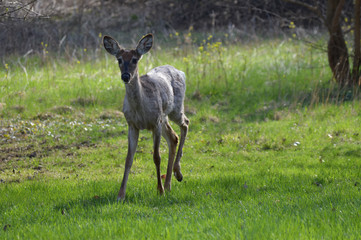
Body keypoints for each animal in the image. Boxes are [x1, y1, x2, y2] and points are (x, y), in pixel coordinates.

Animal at [102, 33, 188, 202]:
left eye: (135, 59)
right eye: (119, 59)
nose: (126, 76)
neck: (140, 109)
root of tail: (180, 71)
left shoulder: (155, 123)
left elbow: (156, 157)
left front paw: (159, 191)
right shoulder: (132, 125)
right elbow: (128, 159)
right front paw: (120, 195)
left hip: (174, 110)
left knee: (185, 123)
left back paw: (177, 174)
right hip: (165, 116)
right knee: (173, 137)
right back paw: (169, 183)